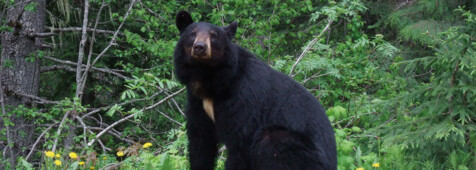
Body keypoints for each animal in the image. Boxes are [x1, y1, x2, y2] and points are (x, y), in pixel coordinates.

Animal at [173, 10, 336, 170]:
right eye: (192, 33)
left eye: (214, 35)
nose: (200, 47)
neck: (210, 79)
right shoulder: (197, 101)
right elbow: (200, 142)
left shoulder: (243, 99)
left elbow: (240, 143)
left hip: (294, 148)